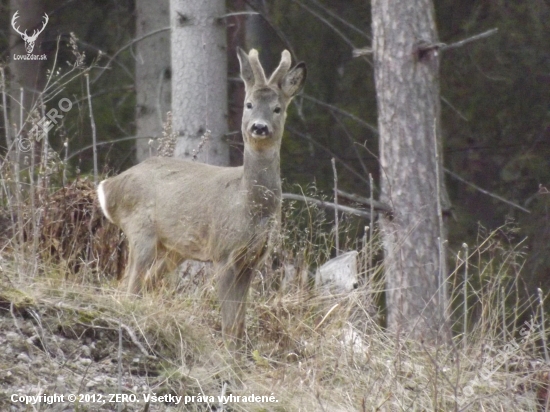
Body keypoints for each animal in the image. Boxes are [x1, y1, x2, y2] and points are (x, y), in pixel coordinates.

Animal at [98, 47, 306, 350]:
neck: (249, 206)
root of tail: (109, 187)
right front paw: (227, 354)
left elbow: (239, 322)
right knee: (130, 286)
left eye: (277, 108)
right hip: (141, 231)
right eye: (249, 104)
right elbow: (229, 321)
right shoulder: (223, 252)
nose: (259, 127)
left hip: (172, 249)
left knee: (139, 282)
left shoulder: (252, 259)